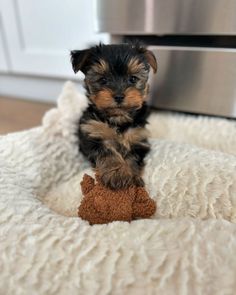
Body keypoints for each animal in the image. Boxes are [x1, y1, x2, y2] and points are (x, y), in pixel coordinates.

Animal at [71, 43, 158, 191]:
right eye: (103, 80)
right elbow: (107, 152)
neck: (118, 118)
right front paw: (117, 174)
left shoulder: (138, 138)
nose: (118, 96)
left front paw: (132, 177)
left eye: (132, 79)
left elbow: (132, 157)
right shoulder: (94, 134)